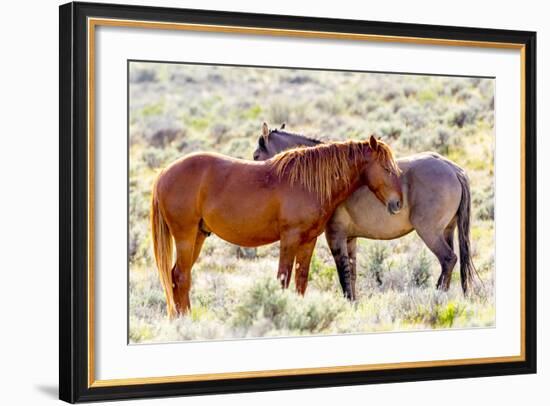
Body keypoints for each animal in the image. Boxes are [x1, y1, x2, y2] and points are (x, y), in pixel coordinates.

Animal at [153, 123, 404, 318]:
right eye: (385, 167)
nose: (397, 203)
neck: (307, 181)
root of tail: (164, 172)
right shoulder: (289, 238)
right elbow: (284, 278)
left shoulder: (308, 241)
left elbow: (301, 280)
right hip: (185, 236)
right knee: (181, 276)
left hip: (198, 236)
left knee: (178, 276)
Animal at [253, 122, 474, 300]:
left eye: (256, 155)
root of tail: (453, 169)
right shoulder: (350, 238)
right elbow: (352, 274)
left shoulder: (335, 236)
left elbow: (343, 274)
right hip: (447, 231)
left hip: (429, 233)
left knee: (448, 260)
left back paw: (437, 295)